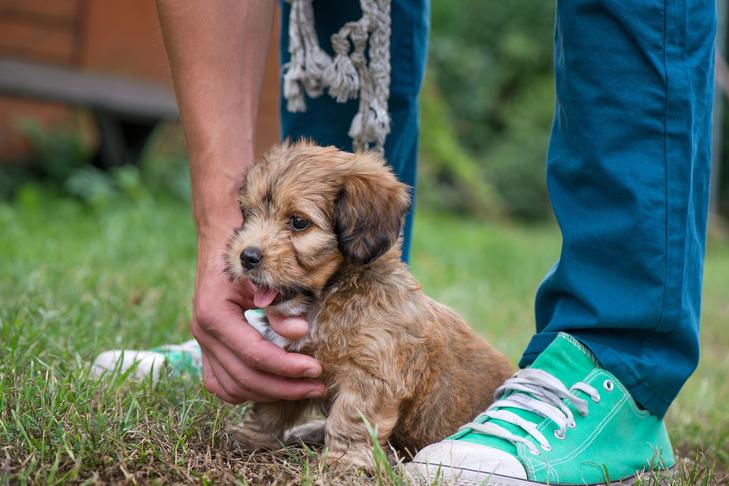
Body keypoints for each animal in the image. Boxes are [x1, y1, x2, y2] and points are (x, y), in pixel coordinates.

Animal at [225, 140, 510, 470]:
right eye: (249, 213)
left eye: (298, 222)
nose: (247, 256)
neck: (331, 295)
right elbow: (270, 408)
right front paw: (251, 438)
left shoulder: (371, 376)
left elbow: (350, 419)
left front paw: (343, 461)